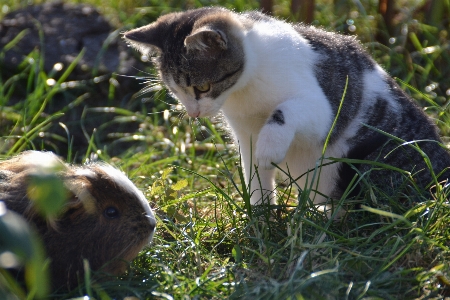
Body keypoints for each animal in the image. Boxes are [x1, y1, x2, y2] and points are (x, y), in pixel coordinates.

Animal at [123, 8, 450, 207]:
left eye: (202, 88)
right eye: (176, 91)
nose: (193, 113)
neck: (244, 88)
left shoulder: (319, 107)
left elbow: (285, 112)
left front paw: (270, 150)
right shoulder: (245, 134)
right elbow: (254, 173)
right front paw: (261, 217)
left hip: (370, 160)